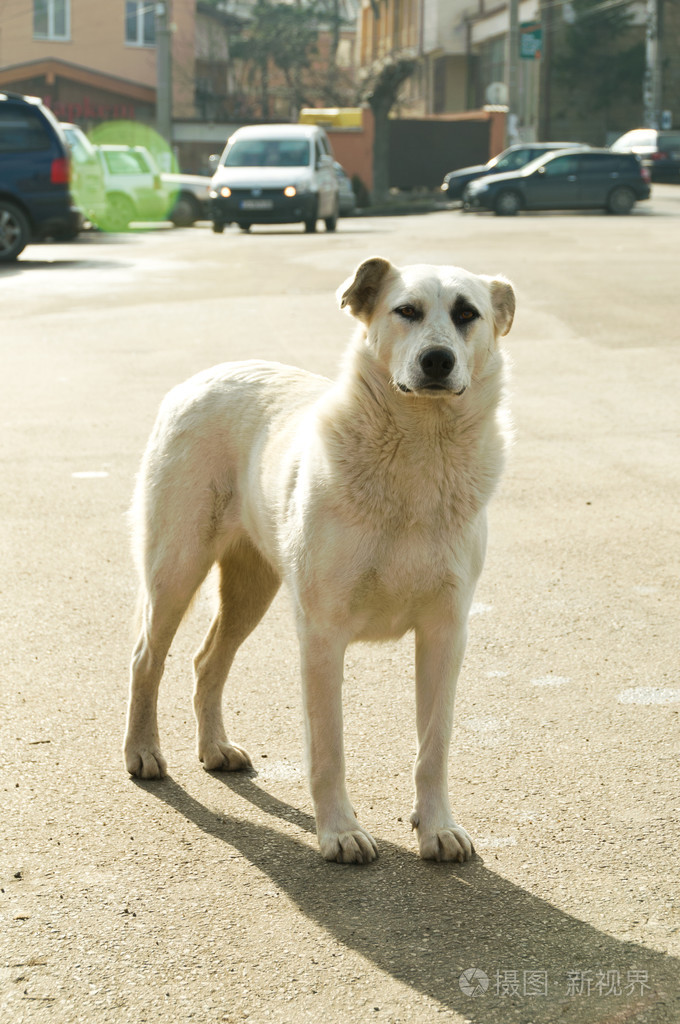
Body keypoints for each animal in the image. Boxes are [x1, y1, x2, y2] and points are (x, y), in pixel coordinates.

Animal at [123, 258, 516, 864]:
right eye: (406, 311)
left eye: (466, 313)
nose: (437, 360)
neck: (418, 453)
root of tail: (203, 376)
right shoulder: (322, 633)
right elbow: (328, 748)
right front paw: (339, 832)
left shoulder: (446, 632)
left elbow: (435, 745)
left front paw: (436, 828)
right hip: (176, 570)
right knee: (147, 658)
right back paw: (142, 753)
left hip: (251, 590)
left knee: (207, 660)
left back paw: (215, 748)